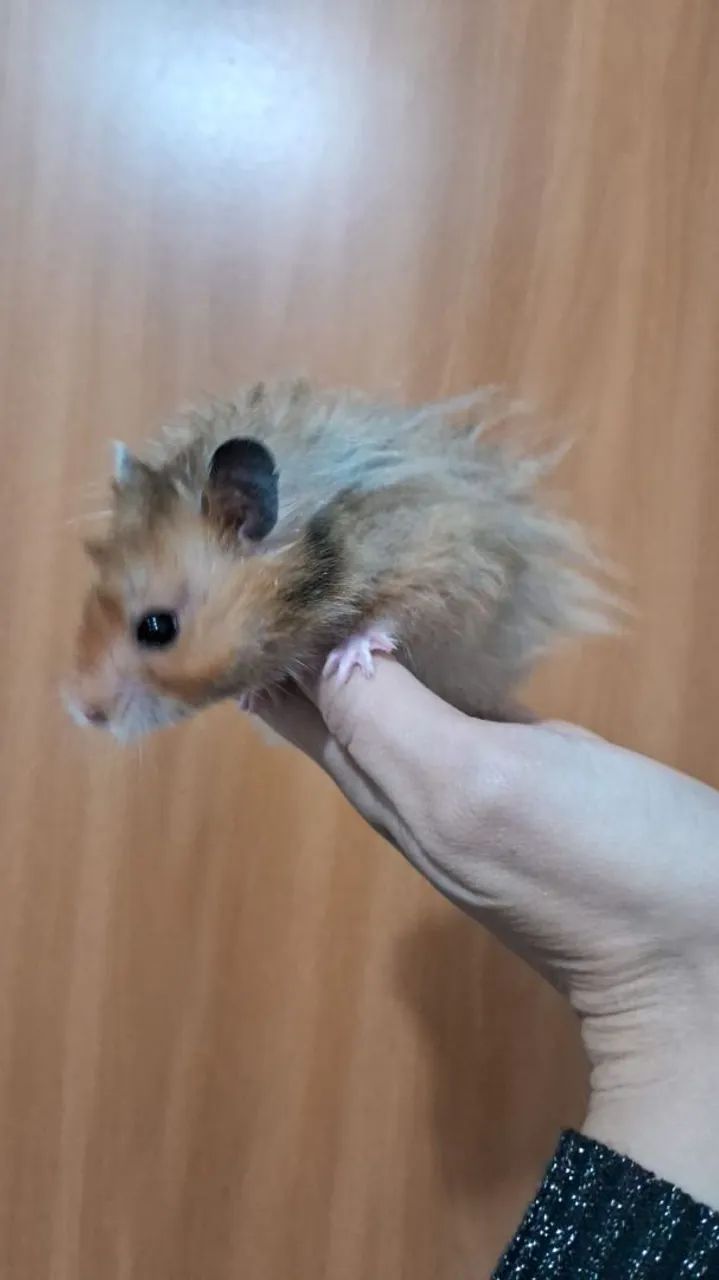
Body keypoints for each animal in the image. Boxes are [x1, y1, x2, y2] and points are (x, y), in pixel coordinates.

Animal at [67, 381, 613, 741]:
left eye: (157, 628)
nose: (79, 712)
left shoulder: (442, 562)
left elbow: (394, 613)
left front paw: (349, 659)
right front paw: (254, 693)